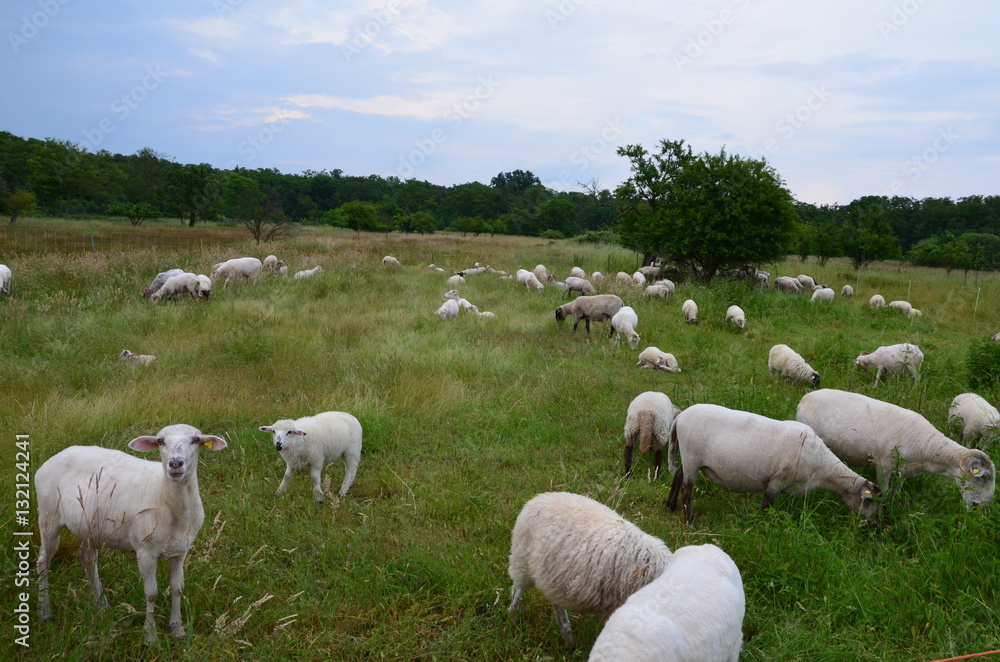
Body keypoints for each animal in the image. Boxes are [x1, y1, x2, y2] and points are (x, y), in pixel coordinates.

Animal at [35, 424, 228, 642]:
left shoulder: (181, 550)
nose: (175, 463)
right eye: (160, 441)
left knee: (87, 557)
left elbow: (177, 588)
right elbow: (151, 593)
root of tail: (56, 456)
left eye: (196, 440)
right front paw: (150, 635)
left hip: (90, 526)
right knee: (43, 562)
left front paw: (177, 629)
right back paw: (45, 611)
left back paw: (101, 604)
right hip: (48, 515)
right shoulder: (145, 551)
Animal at [508, 492, 674, 650]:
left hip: (553, 574)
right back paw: (513, 614)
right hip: (521, 559)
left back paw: (568, 638)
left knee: (557, 604)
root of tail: (539, 497)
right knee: (518, 588)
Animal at [666, 403, 881, 524]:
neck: (822, 468)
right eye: (869, 500)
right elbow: (767, 504)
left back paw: (670, 506)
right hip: (692, 455)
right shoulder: (778, 479)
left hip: (689, 458)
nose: (877, 523)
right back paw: (689, 520)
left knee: (678, 475)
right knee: (686, 489)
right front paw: (760, 527)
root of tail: (680, 417)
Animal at [797, 389, 996, 505]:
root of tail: (805, 397)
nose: (979, 507)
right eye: (984, 478)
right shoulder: (882, 465)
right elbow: (884, 491)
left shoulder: (903, 471)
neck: (926, 448)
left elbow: (896, 492)